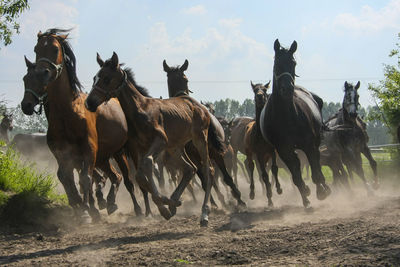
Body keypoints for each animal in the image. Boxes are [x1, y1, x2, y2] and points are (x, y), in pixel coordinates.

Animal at [20, 28, 148, 222]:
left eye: (55, 49)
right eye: (36, 49)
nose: (26, 105)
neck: (67, 112)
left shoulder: (88, 150)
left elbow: (85, 179)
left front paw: (88, 211)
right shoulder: (63, 154)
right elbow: (66, 178)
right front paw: (79, 207)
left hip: (122, 152)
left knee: (127, 180)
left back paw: (139, 210)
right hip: (104, 157)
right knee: (114, 176)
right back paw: (109, 202)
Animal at [85, 51, 219, 226]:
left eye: (106, 78)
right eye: (95, 77)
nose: (89, 102)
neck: (140, 110)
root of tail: (198, 105)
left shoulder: (160, 141)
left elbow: (147, 166)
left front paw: (164, 206)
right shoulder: (139, 149)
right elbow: (139, 176)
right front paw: (167, 204)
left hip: (199, 139)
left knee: (208, 170)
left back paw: (204, 213)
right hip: (175, 147)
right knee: (190, 168)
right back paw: (174, 201)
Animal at [260, 39, 332, 208]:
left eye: (293, 63)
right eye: (277, 63)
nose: (287, 88)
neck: (286, 116)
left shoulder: (308, 145)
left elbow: (315, 170)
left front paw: (321, 191)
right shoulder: (284, 150)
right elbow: (296, 176)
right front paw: (305, 198)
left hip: (314, 143)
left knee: (316, 162)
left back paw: (324, 186)